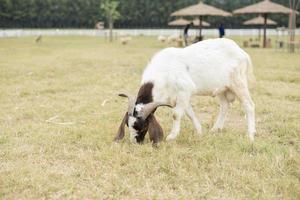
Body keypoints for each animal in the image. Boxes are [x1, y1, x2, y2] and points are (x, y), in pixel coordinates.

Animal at [115, 38, 255, 145]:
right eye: (128, 124)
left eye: (143, 126)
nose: (135, 141)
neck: (163, 72)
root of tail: (242, 52)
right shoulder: (180, 97)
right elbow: (190, 113)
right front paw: (199, 132)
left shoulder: (185, 90)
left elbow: (176, 114)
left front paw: (171, 137)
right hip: (221, 88)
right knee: (225, 106)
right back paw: (215, 129)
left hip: (239, 83)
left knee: (249, 105)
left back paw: (250, 135)